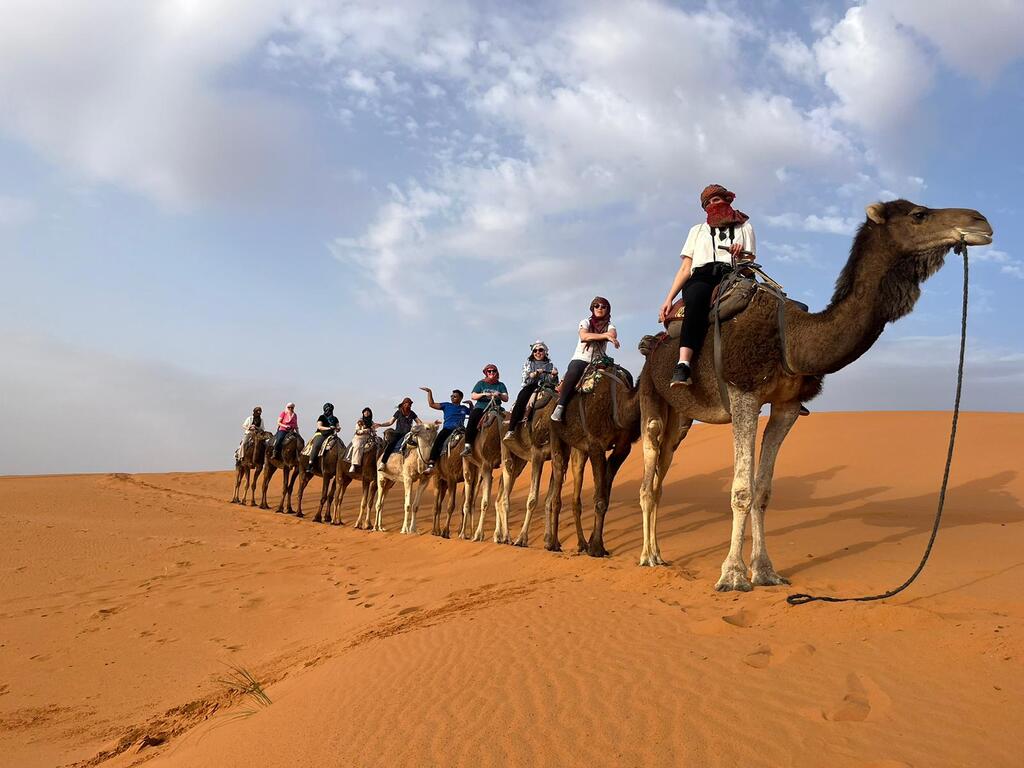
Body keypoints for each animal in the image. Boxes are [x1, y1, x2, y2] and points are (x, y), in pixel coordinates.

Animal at [634, 201, 987, 593]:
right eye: (918, 215)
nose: (981, 222)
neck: (792, 339)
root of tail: (653, 348)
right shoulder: (743, 394)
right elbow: (741, 490)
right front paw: (733, 575)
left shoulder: (786, 406)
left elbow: (762, 490)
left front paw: (765, 571)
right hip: (650, 393)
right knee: (648, 474)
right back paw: (648, 557)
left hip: (681, 419)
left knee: (662, 474)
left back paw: (659, 552)